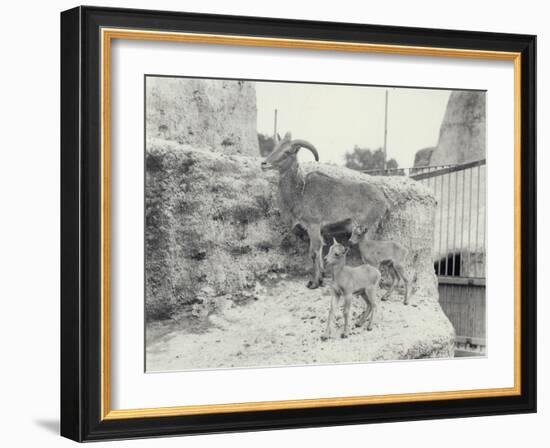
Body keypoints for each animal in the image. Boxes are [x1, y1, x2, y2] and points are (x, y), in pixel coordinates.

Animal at [260, 131, 390, 288]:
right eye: (275, 148)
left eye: (286, 151)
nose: (264, 164)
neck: (300, 192)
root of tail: (384, 200)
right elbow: (320, 252)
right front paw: (321, 278)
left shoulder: (313, 225)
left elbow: (314, 252)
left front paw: (314, 283)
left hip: (367, 229)